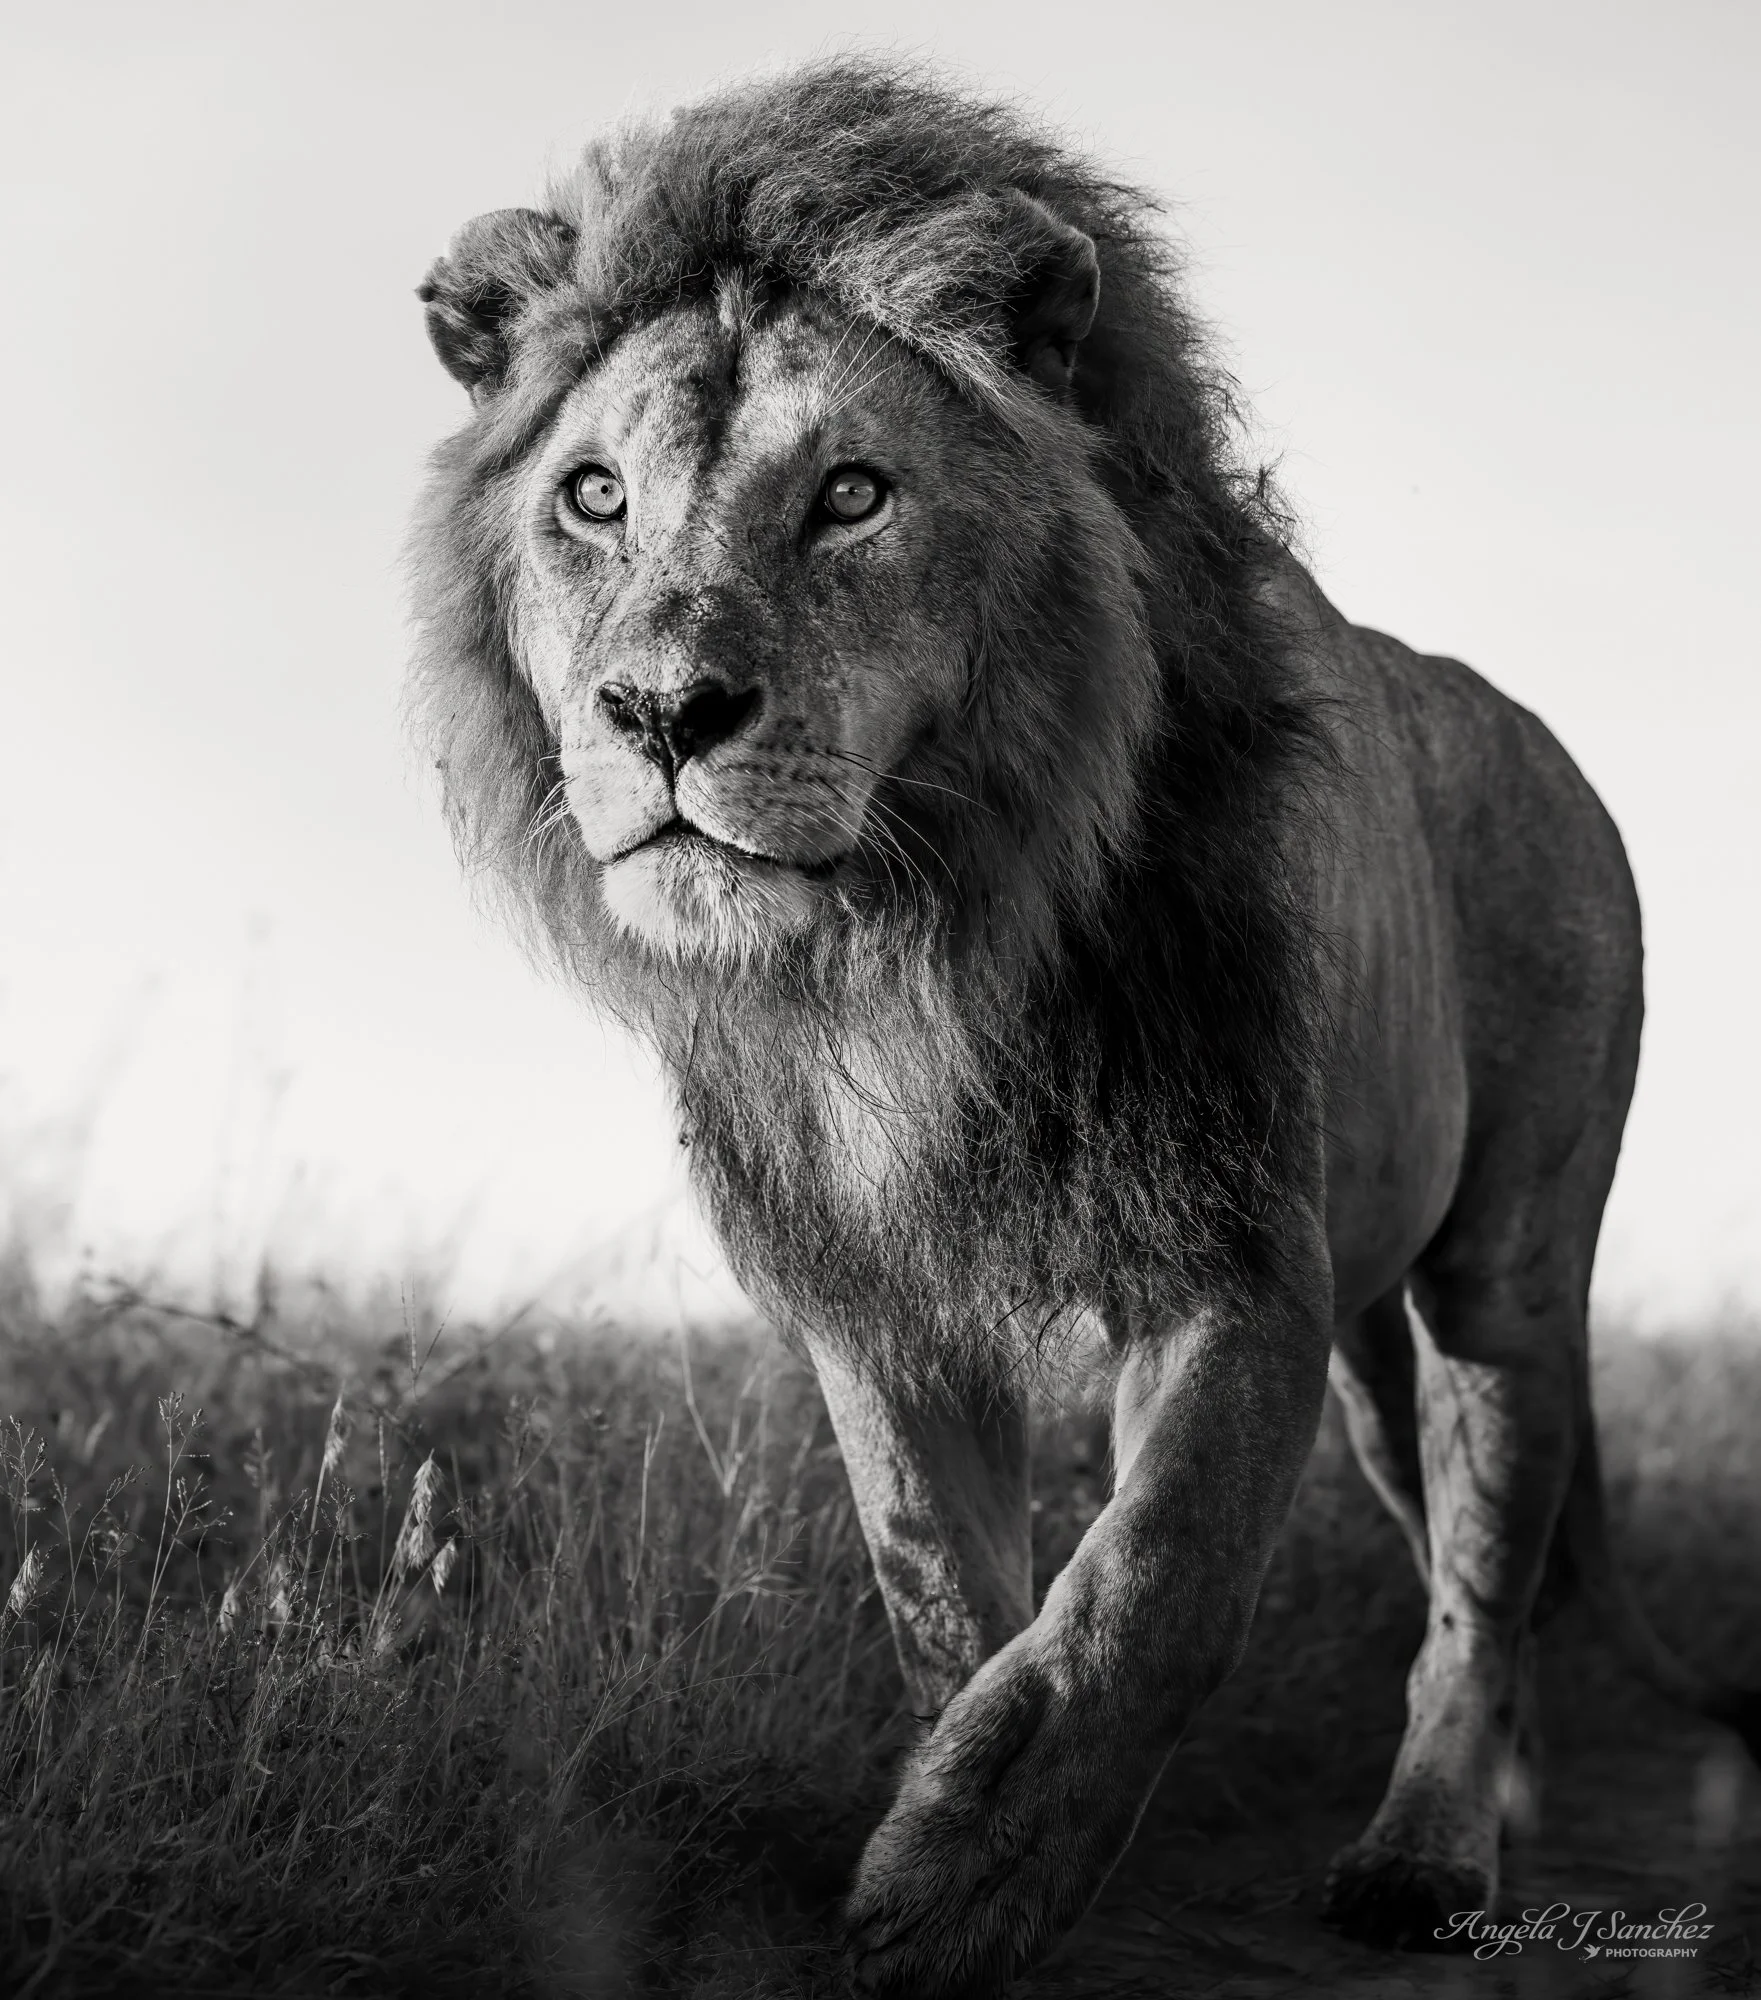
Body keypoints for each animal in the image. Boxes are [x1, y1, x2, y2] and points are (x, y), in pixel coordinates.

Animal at [407, 59, 1759, 1995]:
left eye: (852, 495)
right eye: (591, 498)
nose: (660, 710)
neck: (905, 944)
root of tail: (1524, 727)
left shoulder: (1228, 1268)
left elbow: (1143, 1588)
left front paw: (965, 1884)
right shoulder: (875, 1310)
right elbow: (942, 1598)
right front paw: (955, 1806)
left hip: (1506, 1266)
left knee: (1484, 1572)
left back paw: (1429, 1853)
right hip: (1372, 1338)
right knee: (1439, 1545)